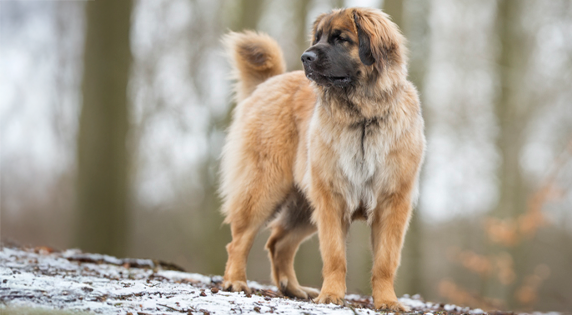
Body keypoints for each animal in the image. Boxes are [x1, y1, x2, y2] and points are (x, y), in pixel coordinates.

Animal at [219, 6, 424, 312]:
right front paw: (331, 295)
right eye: (318, 38)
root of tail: (269, 82)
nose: (306, 57)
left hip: (303, 206)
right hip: (264, 188)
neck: (362, 117)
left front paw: (387, 301)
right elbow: (335, 255)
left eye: (341, 39)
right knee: (240, 240)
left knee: (278, 242)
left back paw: (293, 288)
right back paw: (235, 281)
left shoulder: (393, 202)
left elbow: (385, 261)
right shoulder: (331, 200)